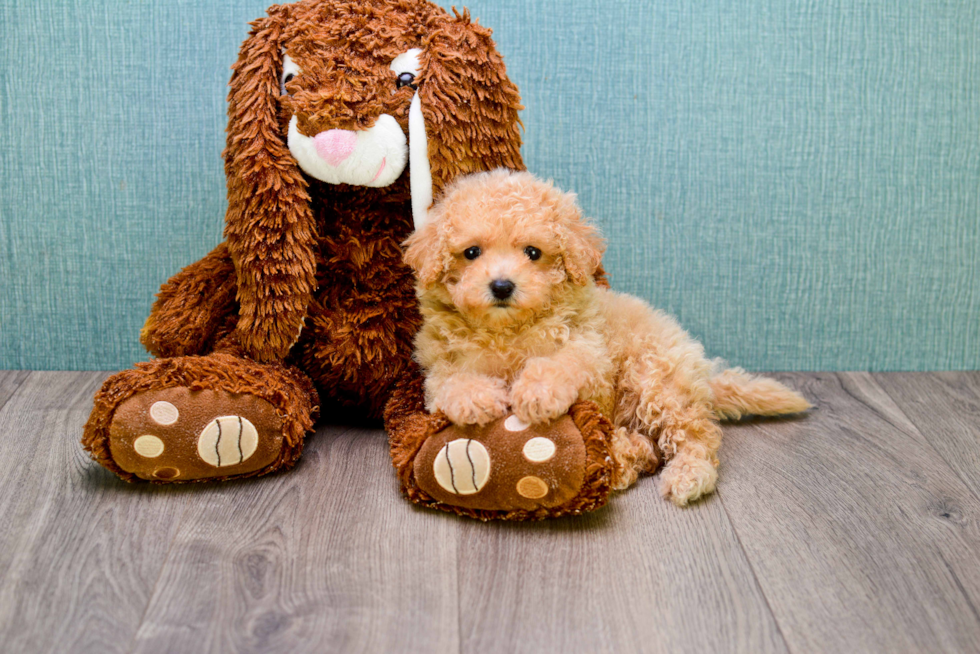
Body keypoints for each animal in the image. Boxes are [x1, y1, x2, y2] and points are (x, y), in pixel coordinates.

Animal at [402, 170, 808, 508]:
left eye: (533, 252)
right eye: (471, 252)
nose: (502, 286)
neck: (507, 332)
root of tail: (702, 373)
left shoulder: (590, 351)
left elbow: (564, 362)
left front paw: (537, 393)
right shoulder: (438, 363)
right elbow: (450, 380)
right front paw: (476, 398)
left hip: (655, 379)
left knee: (697, 435)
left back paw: (686, 475)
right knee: (651, 445)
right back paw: (627, 456)